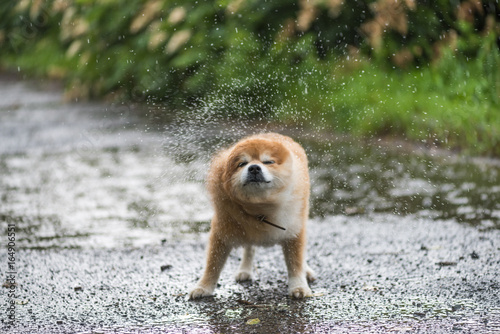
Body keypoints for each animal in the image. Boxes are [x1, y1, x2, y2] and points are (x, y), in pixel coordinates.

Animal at [189, 132, 314, 298]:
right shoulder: (221, 234)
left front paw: (298, 286)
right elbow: (213, 265)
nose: (254, 167)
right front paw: (203, 287)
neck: (260, 208)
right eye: (242, 164)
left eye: (268, 162)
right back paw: (245, 270)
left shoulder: (294, 231)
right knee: (249, 248)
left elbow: (295, 263)